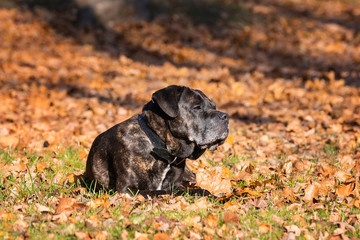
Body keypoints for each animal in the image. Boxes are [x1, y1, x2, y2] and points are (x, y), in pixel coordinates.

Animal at [84, 85, 229, 194]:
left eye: (214, 107)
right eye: (197, 107)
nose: (226, 116)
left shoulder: (177, 184)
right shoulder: (127, 189)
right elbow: (160, 192)